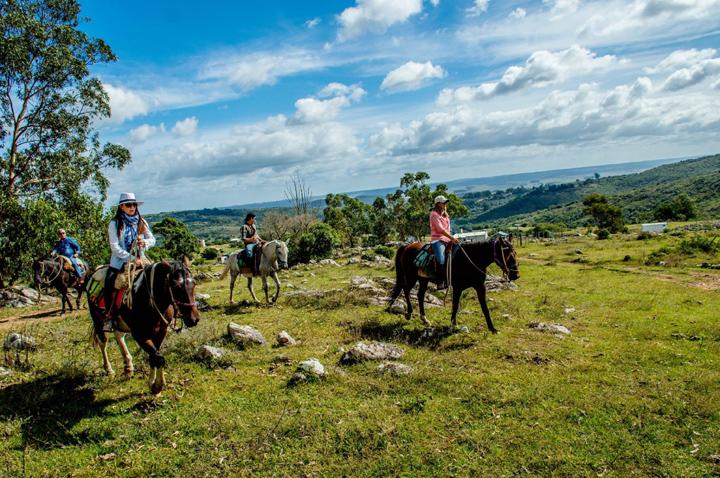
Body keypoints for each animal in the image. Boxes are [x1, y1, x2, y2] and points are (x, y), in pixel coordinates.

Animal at [87, 260, 200, 394]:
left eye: (194, 283)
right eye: (176, 286)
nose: (194, 319)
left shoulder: (161, 331)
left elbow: (154, 356)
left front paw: (153, 383)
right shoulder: (139, 335)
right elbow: (158, 357)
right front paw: (157, 386)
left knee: (119, 336)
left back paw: (128, 367)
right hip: (98, 320)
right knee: (103, 343)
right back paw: (109, 369)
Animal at [388, 236, 516, 332]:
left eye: (514, 252)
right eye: (507, 253)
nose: (516, 275)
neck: (471, 259)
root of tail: (407, 246)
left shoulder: (480, 286)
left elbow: (484, 307)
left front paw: (492, 328)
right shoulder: (457, 287)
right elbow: (455, 305)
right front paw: (453, 325)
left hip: (423, 279)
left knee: (420, 295)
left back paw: (424, 319)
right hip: (411, 277)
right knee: (406, 290)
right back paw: (409, 313)